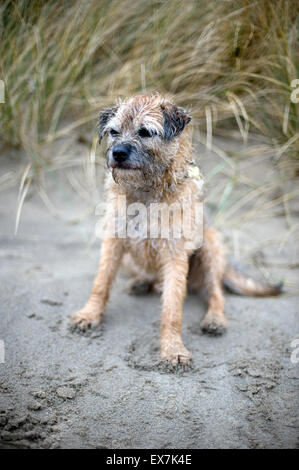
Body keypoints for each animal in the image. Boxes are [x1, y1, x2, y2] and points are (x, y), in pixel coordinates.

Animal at [72, 91, 282, 364]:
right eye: (114, 132)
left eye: (145, 132)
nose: (117, 153)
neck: (146, 192)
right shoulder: (113, 241)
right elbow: (101, 282)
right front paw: (90, 314)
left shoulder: (175, 253)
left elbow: (172, 306)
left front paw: (173, 348)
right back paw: (141, 283)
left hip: (210, 245)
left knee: (216, 293)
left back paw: (215, 319)